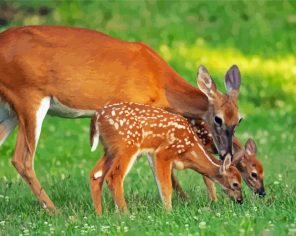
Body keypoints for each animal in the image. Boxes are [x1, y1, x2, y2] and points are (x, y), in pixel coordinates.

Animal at [88, 102, 243, 215]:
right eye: (235, 184)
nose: (240, 200)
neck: (190, 149)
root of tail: (97, 117)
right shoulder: (163, 153)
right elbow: (166, 187)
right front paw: (169, 212)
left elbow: (161, 183)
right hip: (127, 145)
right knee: (113, 176)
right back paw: (126, 214)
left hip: (109, 149)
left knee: (95, 174)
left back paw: (99, 214)